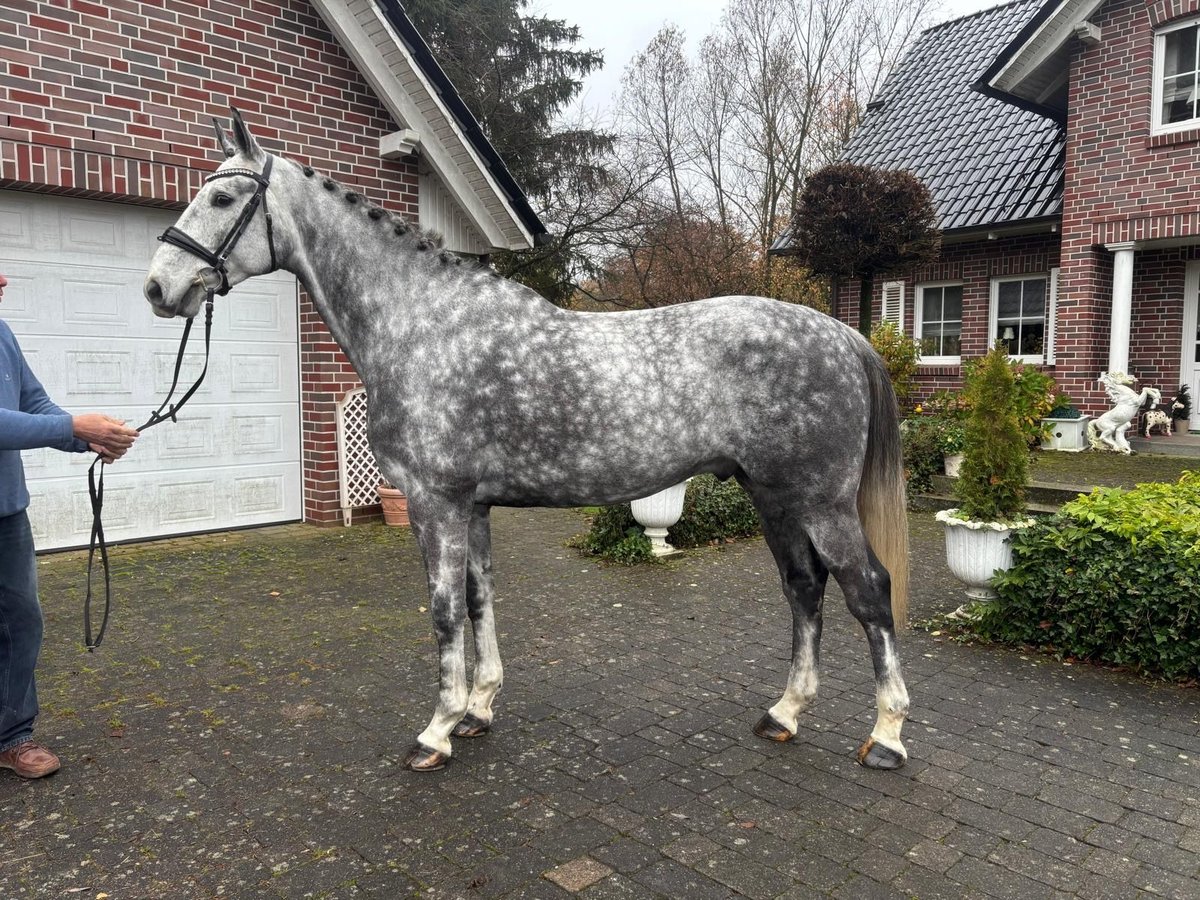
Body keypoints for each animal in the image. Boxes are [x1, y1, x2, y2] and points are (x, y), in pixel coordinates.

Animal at [143, 109, 912, 773]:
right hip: (773, 495)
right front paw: (478, 709)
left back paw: (887, 736)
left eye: (220, 197)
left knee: (868, 591)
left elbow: (444, 611)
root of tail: (842, 336)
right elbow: (480, 598)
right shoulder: (474, 507)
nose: (158, 288)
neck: (424, 325)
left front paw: (436, 730)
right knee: (804, 588)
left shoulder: (436, 504)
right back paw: (784, 713)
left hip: (820, 502)